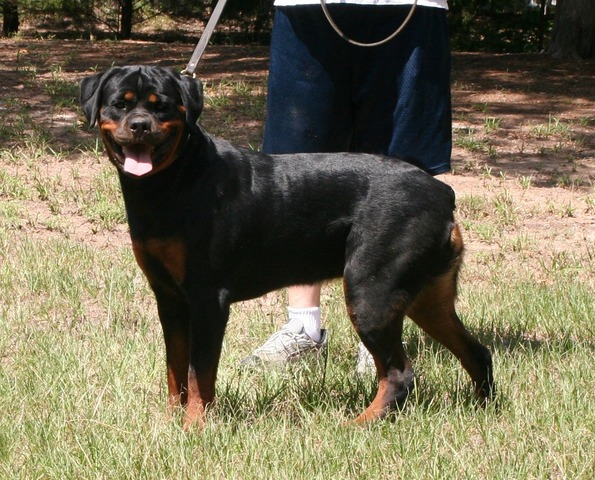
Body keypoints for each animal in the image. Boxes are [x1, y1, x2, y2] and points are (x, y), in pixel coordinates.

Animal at [81, 65, 496, 430]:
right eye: (119, 104)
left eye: (162, 106)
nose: (140, 125)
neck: (171, 181)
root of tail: (443, 193)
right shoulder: (169, 298)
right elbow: (175, 369)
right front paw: (171, 421)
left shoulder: (207, 299)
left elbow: (201, 374)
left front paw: (195, 427)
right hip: (427, 296)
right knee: (476, 351)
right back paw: (483, 407)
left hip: (371, 291)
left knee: (399, 373)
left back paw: (360, 423)